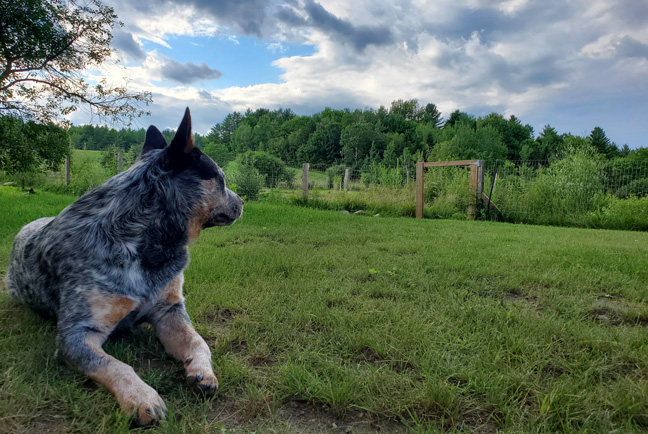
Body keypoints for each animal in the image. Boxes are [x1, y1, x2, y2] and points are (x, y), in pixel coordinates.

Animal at [3, 107, 243, 424]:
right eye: (221, 179)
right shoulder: (77, 334)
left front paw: (202, 371)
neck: (140, 241)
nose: (243, 201)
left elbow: (198, 341)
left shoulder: (169, 310)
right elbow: (115, 365)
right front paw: (142, 397)